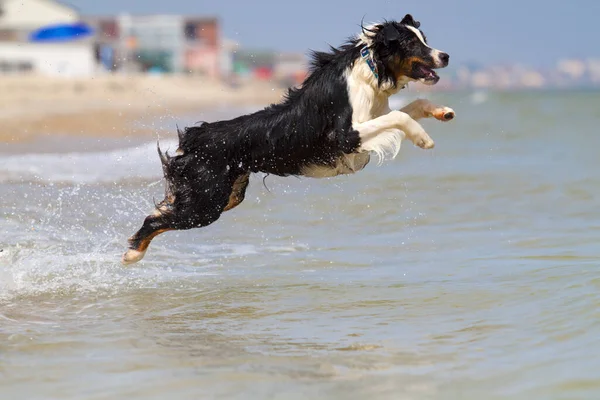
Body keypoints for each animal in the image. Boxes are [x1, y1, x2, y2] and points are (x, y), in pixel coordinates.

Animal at [122, 14, 454, 264]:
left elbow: (410, 106)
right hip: (208, 201)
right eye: (411, 42)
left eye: (424, 38)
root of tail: (194, 136)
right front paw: (423, 138)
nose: (446, 55)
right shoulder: (344, 136)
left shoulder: (373, 117)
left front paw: (443, 111)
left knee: (163, 210)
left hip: (227, 195)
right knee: (158, 219)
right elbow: (400, 117)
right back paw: (132, 254)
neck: (371, 70)